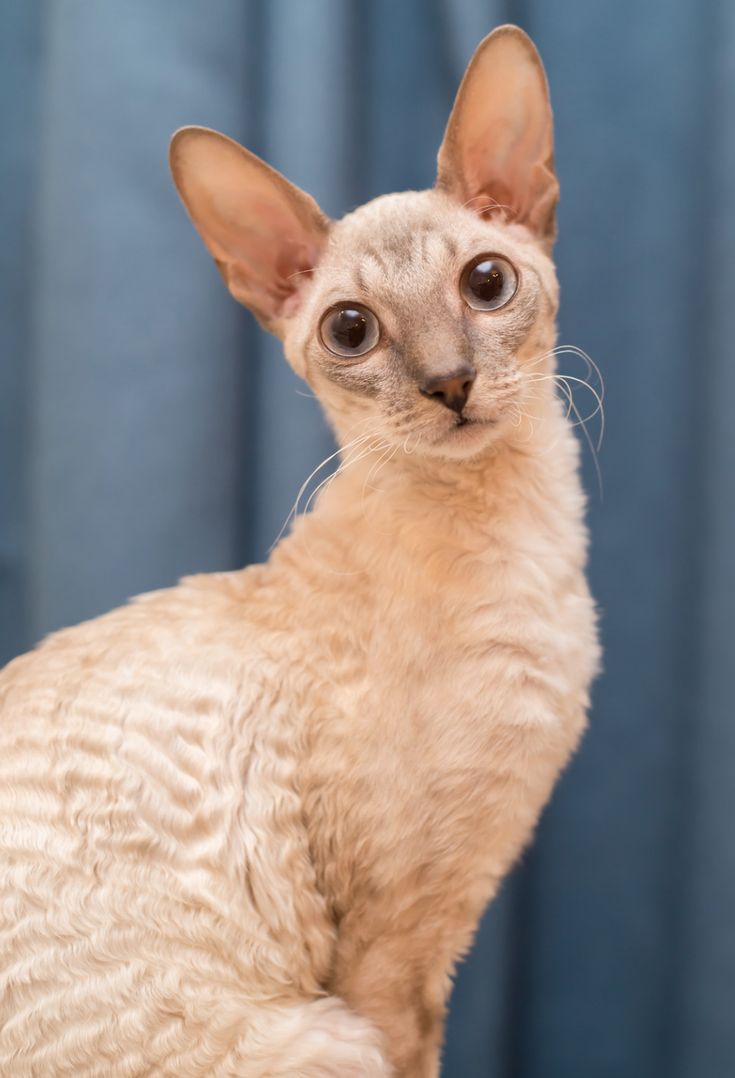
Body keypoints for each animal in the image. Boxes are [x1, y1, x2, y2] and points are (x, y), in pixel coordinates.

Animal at [0, 25, 594, 1078]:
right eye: (351, 330)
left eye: (485, 283)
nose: (450, 381)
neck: (515, 539)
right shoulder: (394, 949)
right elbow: (417, 1054)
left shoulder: (433, 925)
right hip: (320, 1037)